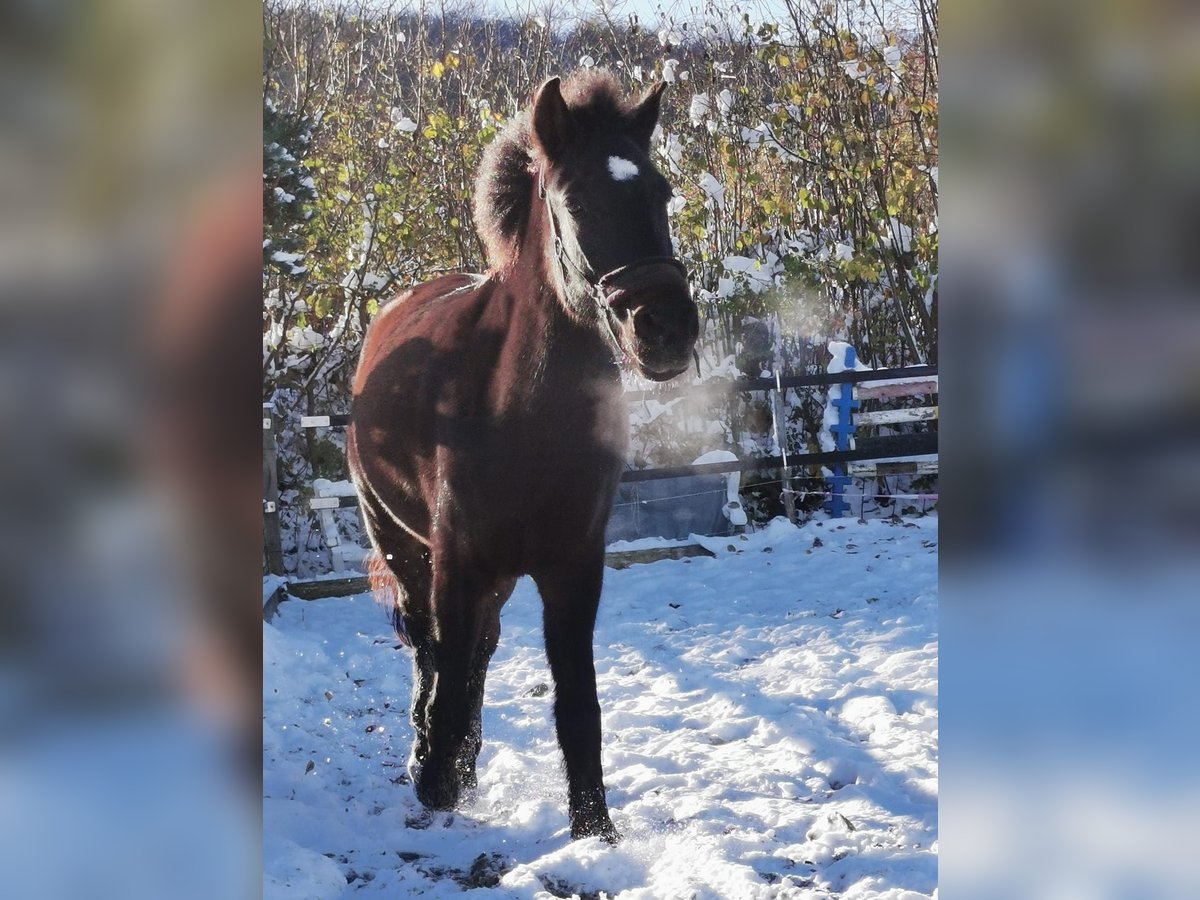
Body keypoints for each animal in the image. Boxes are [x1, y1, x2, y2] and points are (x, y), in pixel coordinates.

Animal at [348, 72, 700, 844]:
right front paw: (436, 788)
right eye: (577, 202)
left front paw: (594, 828)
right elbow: (447, 673)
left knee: (479, 651)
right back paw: (429, 757)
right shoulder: (455, 562)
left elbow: (577, 703)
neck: (521, 421)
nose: (665, 327)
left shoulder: (572, 567)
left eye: (661, 193)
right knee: (428, 649)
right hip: (403, 546)